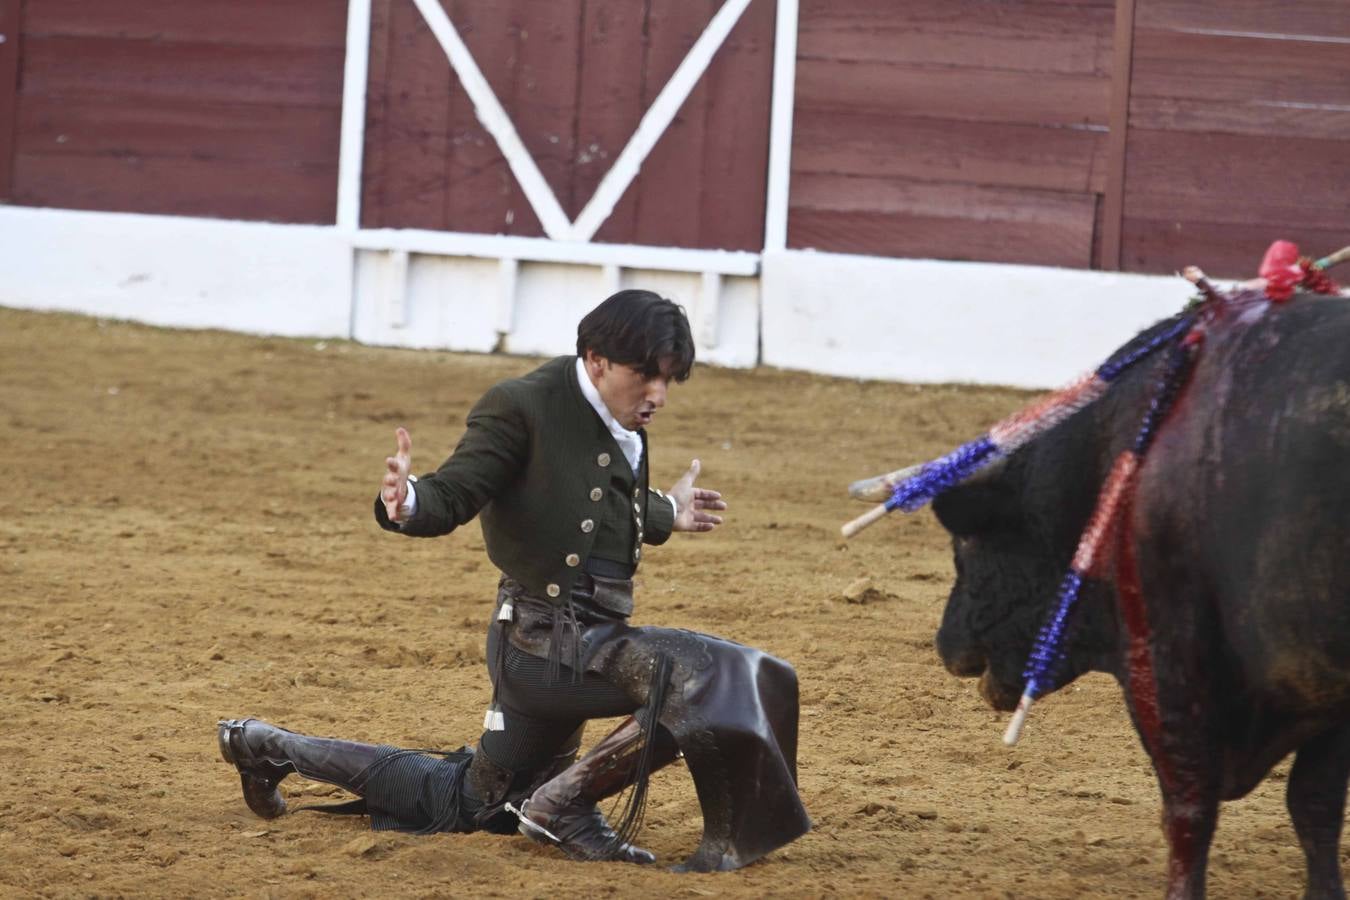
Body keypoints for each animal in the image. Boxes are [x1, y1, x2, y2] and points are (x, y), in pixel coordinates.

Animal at [928, 296, 1350, 900]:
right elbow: (1315, 803)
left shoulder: (1165, 662)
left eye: (966, 540)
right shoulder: (1327, 694)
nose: (945, 644)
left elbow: (1189, 809)